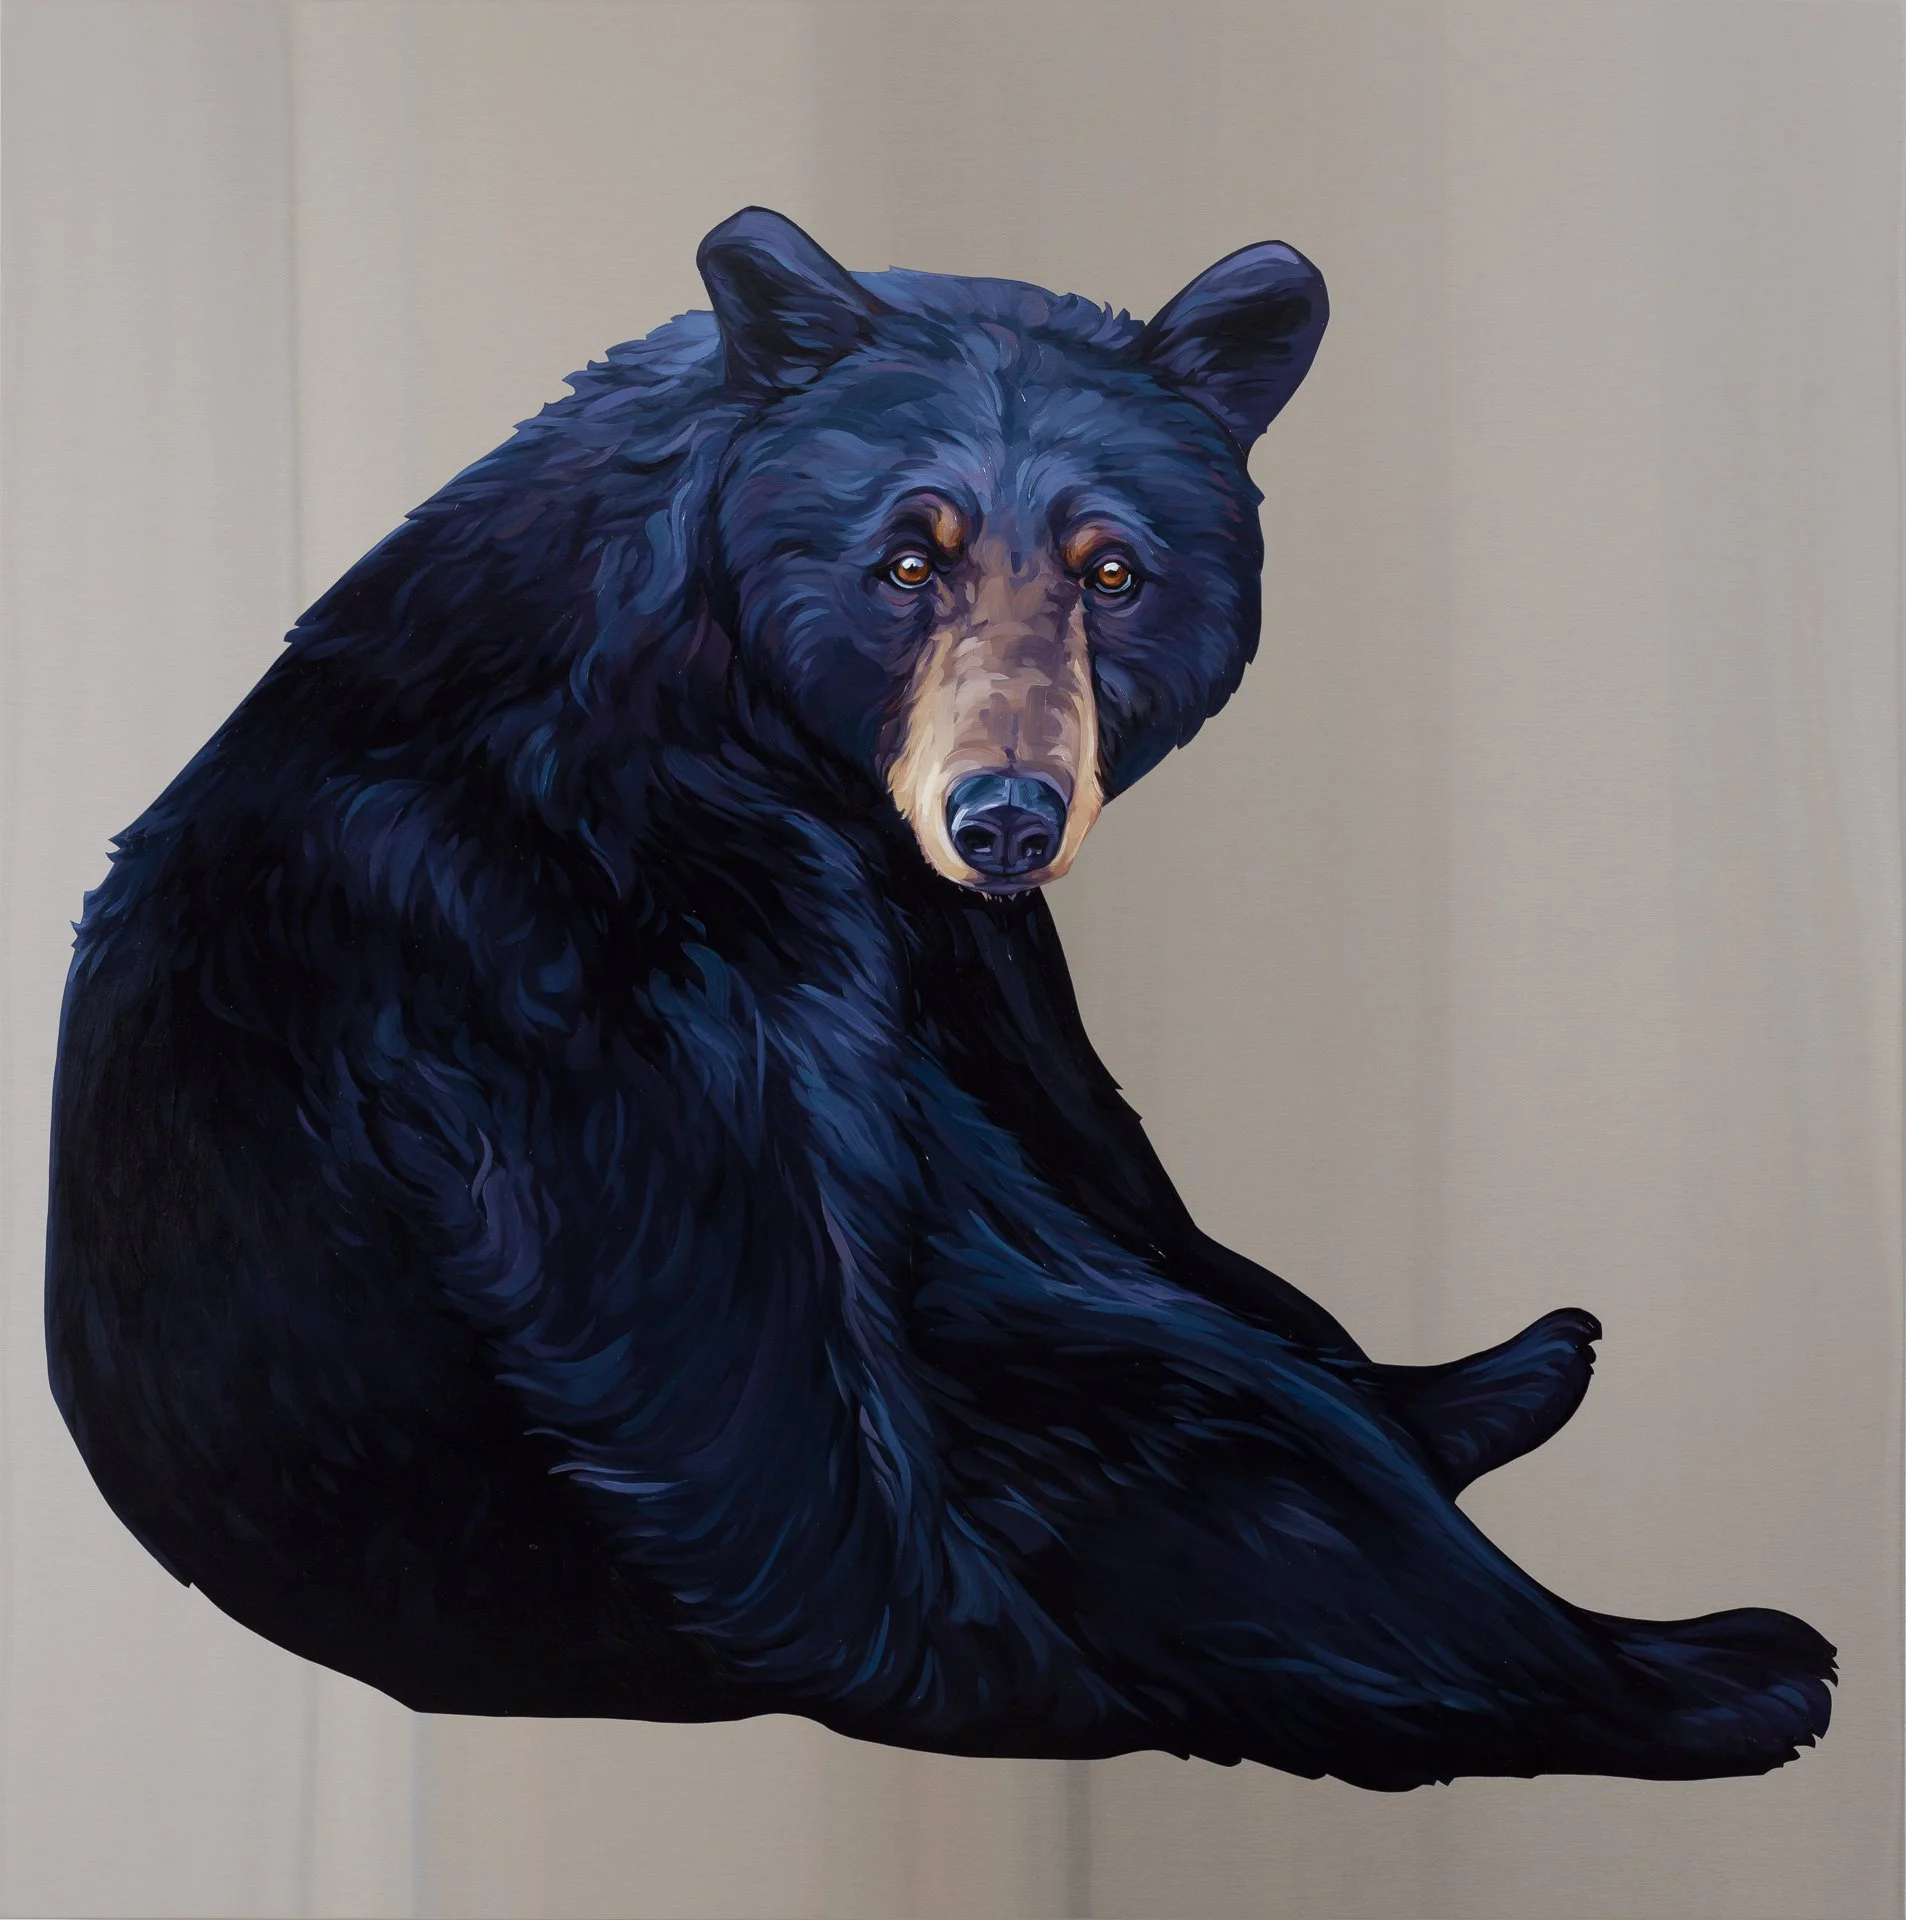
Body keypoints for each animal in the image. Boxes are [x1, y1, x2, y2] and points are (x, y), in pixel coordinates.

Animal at [46, 207, 1833, 1790]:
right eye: (907, 560)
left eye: (1112, 571)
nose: (1006, 816)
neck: (722, 730)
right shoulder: (580, 975)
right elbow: (741, 1355)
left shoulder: (927, 946)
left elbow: (1084, 1147)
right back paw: (1704, 1666)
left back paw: (1509, 1381)